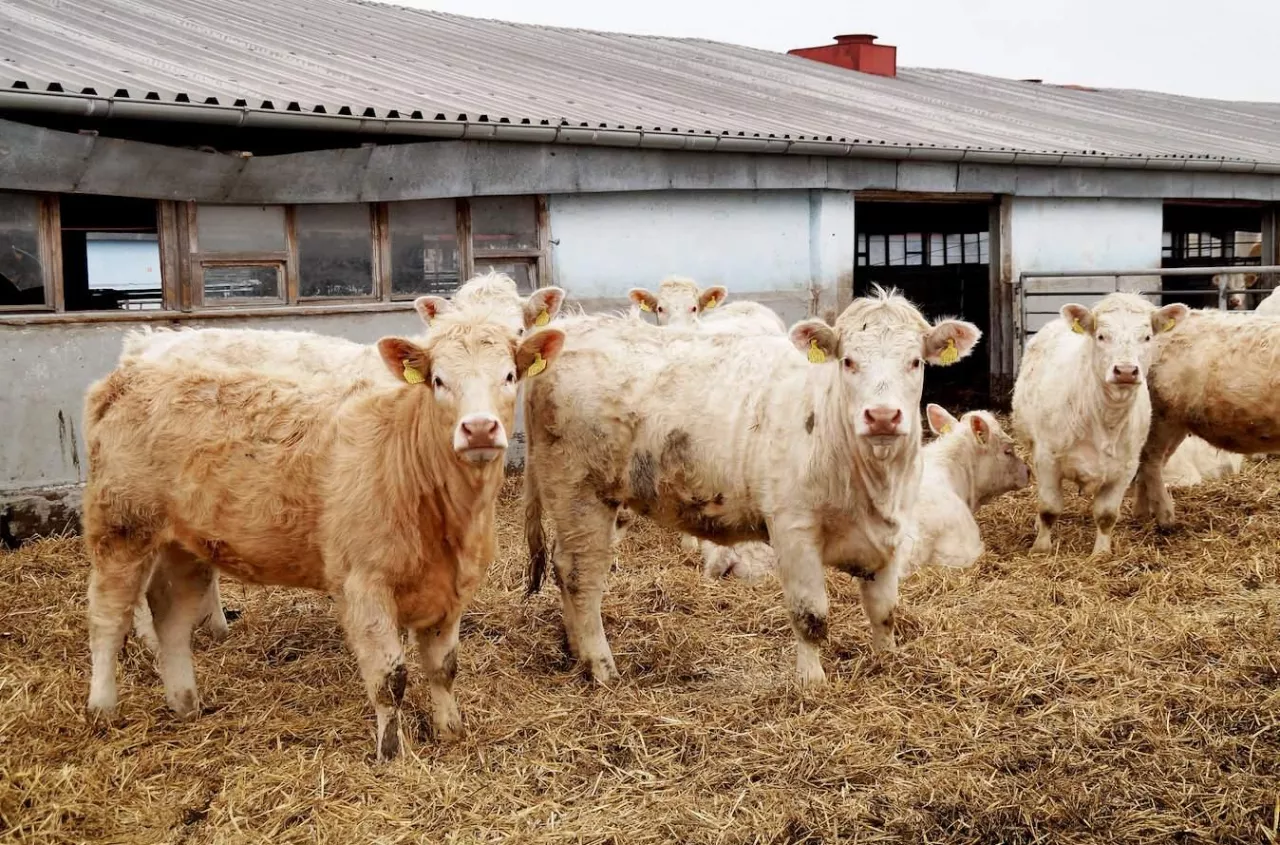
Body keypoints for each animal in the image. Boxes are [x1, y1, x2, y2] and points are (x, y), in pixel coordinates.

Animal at [80, 307, 560, 763]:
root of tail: (128, 374)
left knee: (172, 617)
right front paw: (391, 751)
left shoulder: (451, 589)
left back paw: (185, 703)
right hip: (122, 527)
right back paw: (102, 708)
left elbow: (444, 668)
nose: (478, 428)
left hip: (187, 544)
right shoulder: (364, 585)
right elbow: (390, 680)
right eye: (439, 380)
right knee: (108, 617)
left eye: (509, 376)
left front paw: (450, 731)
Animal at [519, 289, 977, 686]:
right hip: (578, 490)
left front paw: (889, 663)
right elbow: (811, 616)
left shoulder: (889, 533)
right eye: (848, 361)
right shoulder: (792, 529)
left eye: (915, 362)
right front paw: (812, 683)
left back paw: (575, 650)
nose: (882, 416)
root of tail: (575, 326)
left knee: (563, 566)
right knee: (581, 575)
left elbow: (884, 610)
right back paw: (601, 667)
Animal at [1008, 293, 1187, 558]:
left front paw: (1101, 554)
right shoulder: (1047, 458)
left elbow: (1106, 515)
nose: (1126, 371)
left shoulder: (1125, 468)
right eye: (1102, 336)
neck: (1104, 419)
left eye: (1146, 337)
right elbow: (1049, 508)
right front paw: (1041, 548)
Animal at [1131, 307, 1280, 524]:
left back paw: (1143, 513)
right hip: (1161, 414)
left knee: (1151, 461)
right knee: (1151, 460)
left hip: (1175, 421)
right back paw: (1166, 518)